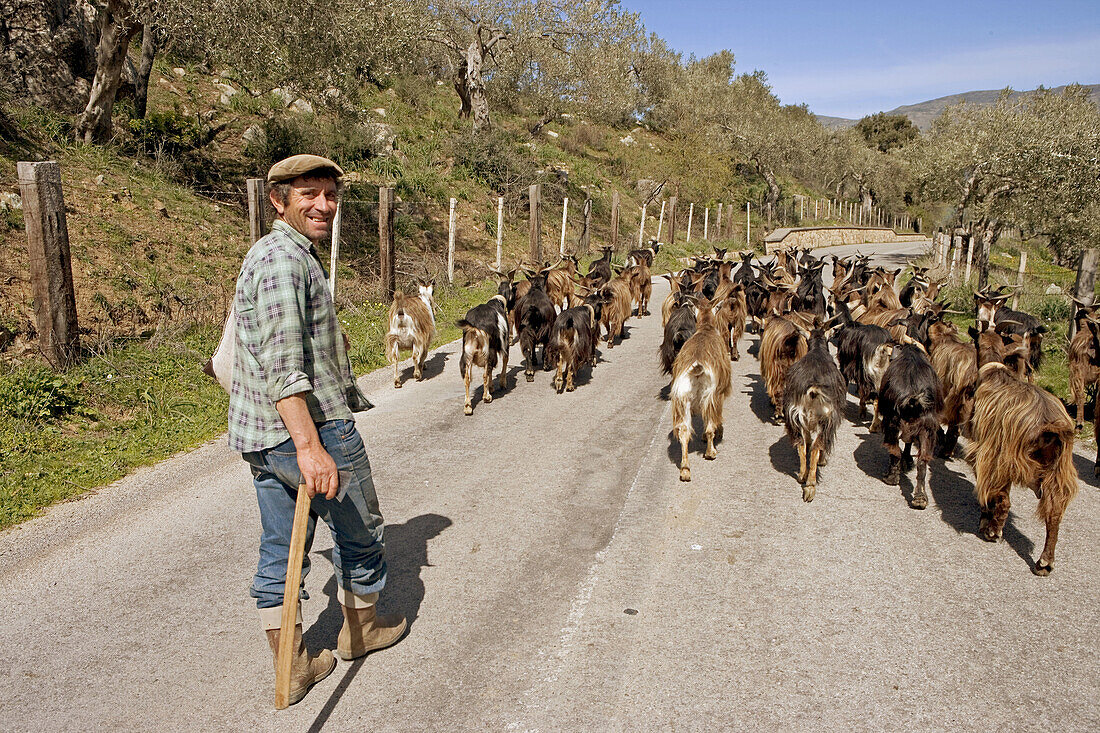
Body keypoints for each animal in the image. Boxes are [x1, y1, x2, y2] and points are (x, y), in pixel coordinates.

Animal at [664, 297, 734, 479]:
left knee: (683, 430)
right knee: (709, 424)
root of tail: (696, 366)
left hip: (681, 398)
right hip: (710, 395)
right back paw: (710, 452)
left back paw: (685, 470)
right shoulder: (718, 393)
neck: (706, 329)